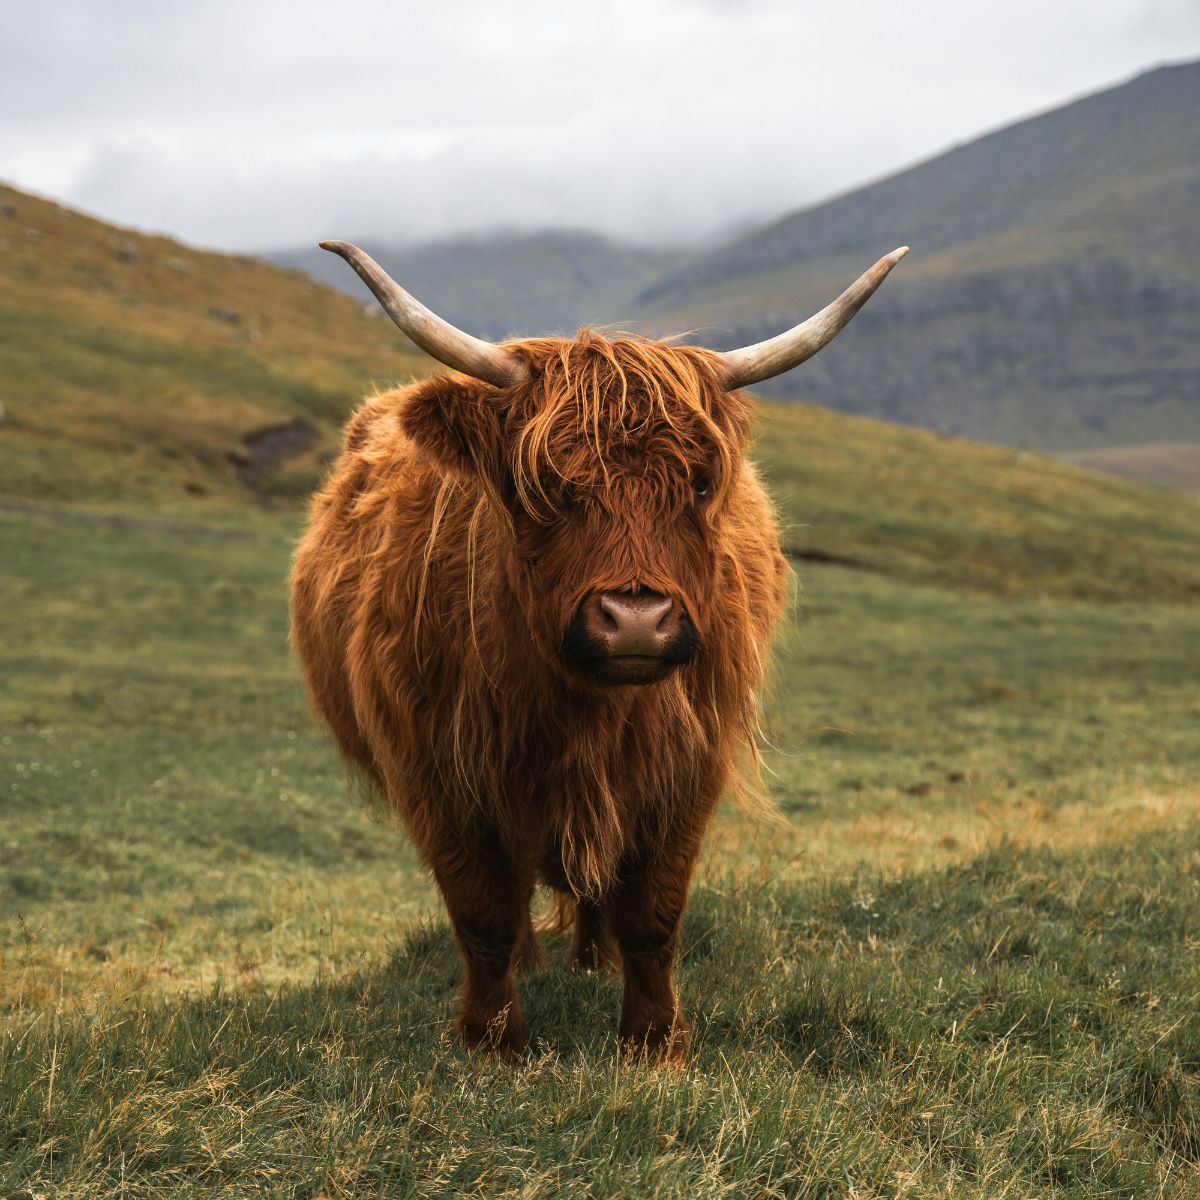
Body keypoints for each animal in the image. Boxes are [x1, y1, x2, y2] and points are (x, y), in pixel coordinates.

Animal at [290, 236, 902, 1060]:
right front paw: (494, 1041)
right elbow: (482, 912)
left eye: (700, 484)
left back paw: (592, 958)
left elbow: (653, 913)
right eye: (547, 484)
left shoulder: (685, 770)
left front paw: (654, 1041)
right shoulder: (438, 773)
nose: (637, 619)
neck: (582, 712)